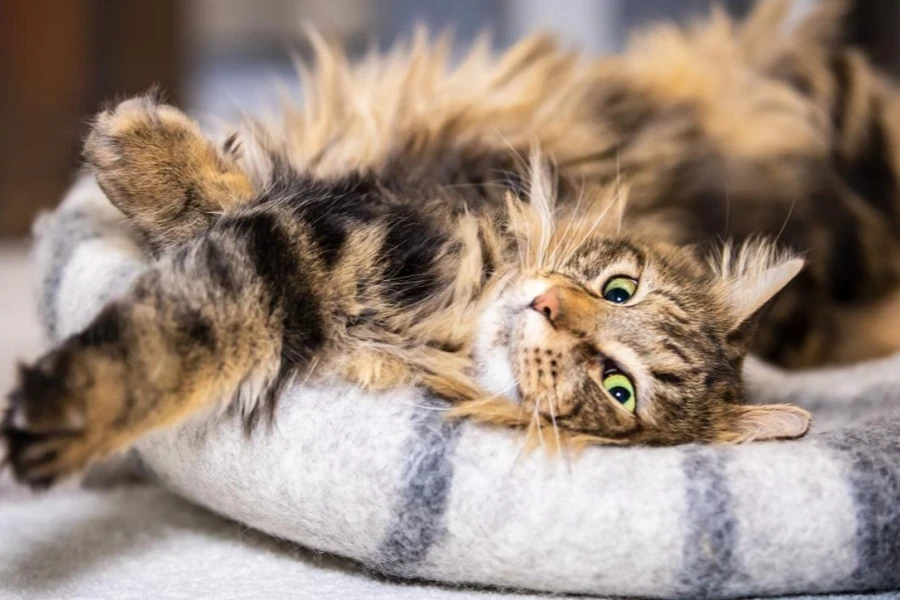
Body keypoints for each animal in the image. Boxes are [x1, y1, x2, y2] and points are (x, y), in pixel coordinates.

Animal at [5, 1, 900, 488]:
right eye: (619, 289)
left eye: (618, 388)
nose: (549, 307)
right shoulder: (381, 215)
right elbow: (246, 194)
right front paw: (141, 151)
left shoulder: (324, 254)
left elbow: (177, 334)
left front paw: (62, 416)